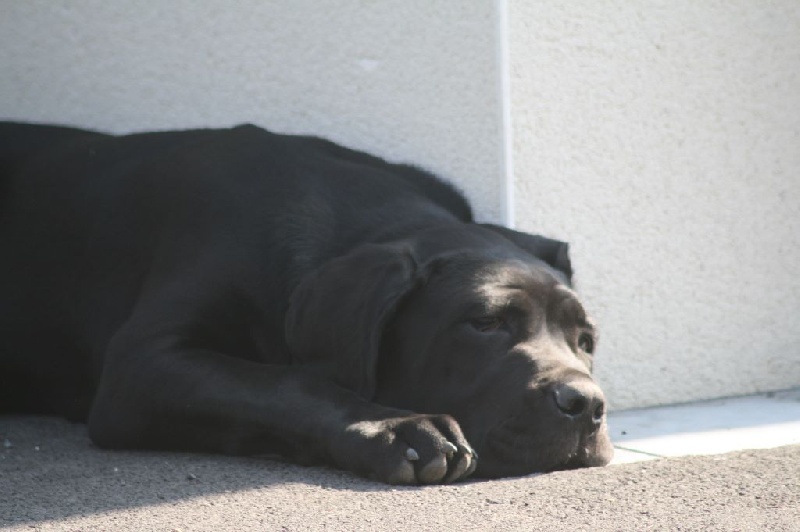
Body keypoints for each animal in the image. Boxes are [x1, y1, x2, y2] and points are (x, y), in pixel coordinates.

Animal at [0, 122, 612, 484]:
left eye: (586, 341)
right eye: (484, 323)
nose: (586, 404)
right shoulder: (140, 365)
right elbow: (282, 382)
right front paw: (396, 429)